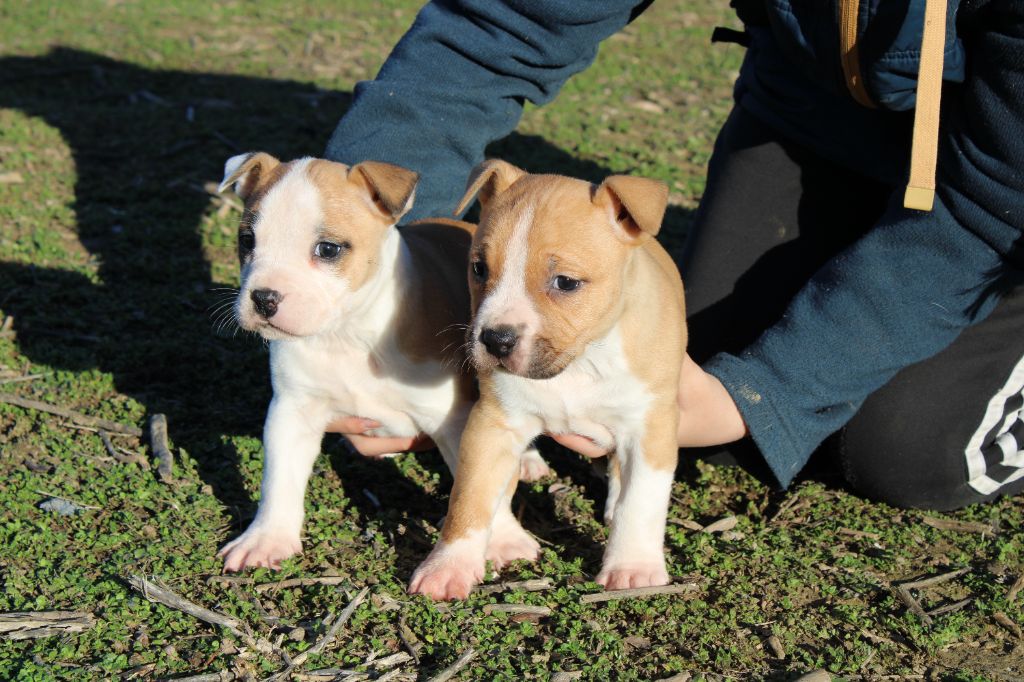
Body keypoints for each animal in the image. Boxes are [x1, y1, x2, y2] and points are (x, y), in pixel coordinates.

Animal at [218, 152, 552, 569]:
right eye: (247, 240)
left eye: (328, 249)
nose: (263, 298)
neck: (347, 334)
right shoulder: (293, 411)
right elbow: (279, 479)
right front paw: (266, 538)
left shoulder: (455, 422)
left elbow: (483, 487)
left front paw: (505, 538)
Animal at [407, 157, 688, 593]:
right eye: (479, 269)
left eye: (566, 283)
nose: (496, 339)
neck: (581, 363)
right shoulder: (491, 424)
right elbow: (469, 497)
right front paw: (448, 565)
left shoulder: (651, 427)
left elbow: (641, 502)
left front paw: (634, 567)